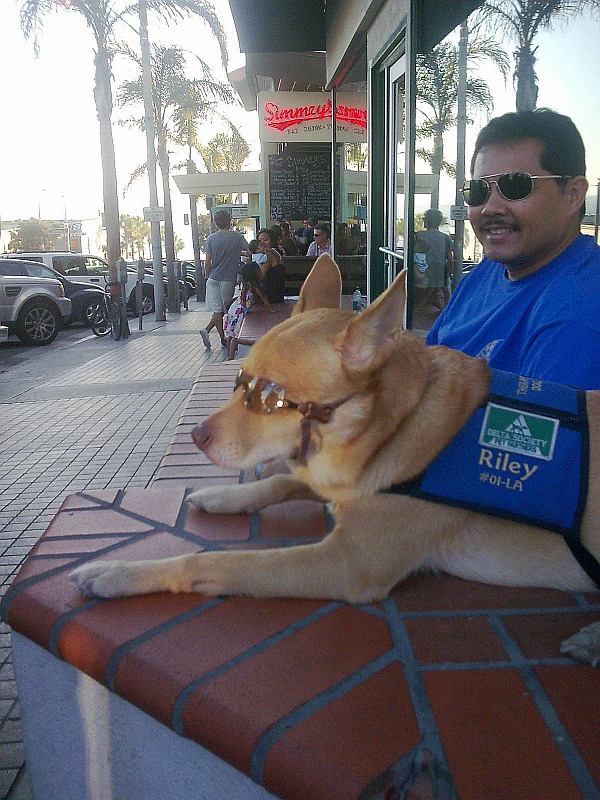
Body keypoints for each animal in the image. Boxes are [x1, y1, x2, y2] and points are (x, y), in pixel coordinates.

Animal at [71, 255, 600, 666]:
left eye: (271, 399)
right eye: (240, 381)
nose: (196, 435)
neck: (392, 430)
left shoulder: (346, 563)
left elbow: (222, 560)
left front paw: (119, 573)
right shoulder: (333, 479)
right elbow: (279, 481)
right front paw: (223, 496)